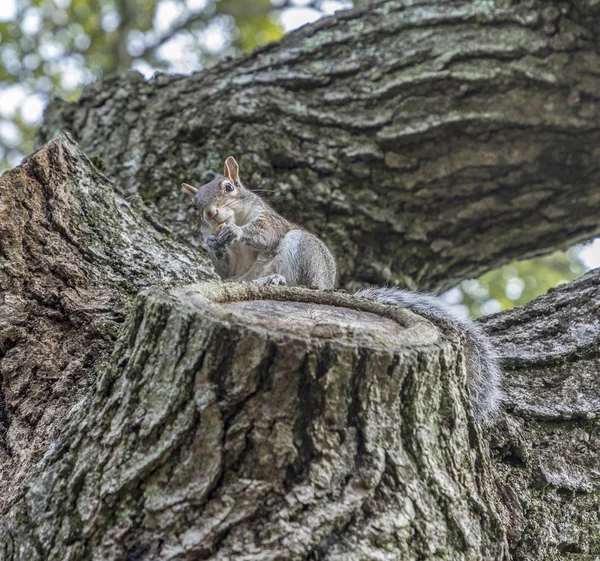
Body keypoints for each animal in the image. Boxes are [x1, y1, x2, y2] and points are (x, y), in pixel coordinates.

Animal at [183, 156, 336, 288]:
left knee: (300, 283)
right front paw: (212, 244)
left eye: (229, 187)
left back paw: (277, 278)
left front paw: (236, 230)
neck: (237, 219)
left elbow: (268, 233)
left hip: (305, 248)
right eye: (194, 206)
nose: (210, 213)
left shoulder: (268, 218)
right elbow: (226, 271)